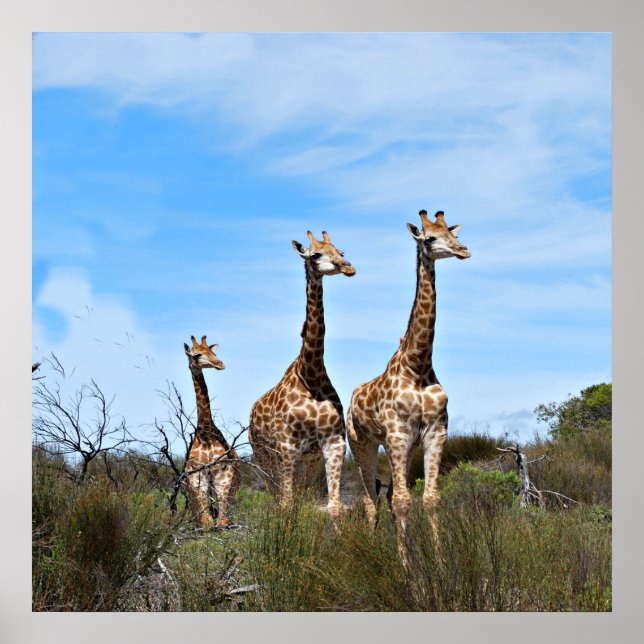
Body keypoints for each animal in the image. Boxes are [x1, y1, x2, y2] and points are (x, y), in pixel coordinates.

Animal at [183, 336, 241, 528]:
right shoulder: (196, 474)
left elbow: (222, 521)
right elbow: (206, 521)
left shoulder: (223, 474)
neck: (205, 433)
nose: (220, 364)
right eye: (197, 355)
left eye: (213, 352)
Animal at [249, 230, 356, 521]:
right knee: (279, 499)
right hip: (264, 458)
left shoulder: (333, 443)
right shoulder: (287, 446)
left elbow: (333, 507)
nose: (347, 267)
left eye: (340, 250)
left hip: (307, 461)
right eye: (315, 254)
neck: (311, 373)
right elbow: (287, 506)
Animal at [347, 210, 470, 539]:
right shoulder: (397, 434)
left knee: (386, 495)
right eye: (430, 238)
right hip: (362, 443)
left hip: (404, 446)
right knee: (370, 500)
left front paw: (435, 552)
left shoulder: (434, 433)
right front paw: (403, 555)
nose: (464, 250)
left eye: (452, 233)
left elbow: (430, 499)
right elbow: (403, 501)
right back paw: (372, 543)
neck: (418, 365)